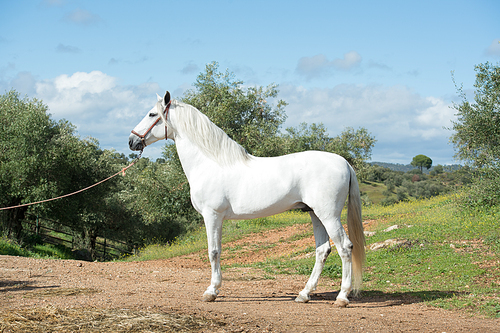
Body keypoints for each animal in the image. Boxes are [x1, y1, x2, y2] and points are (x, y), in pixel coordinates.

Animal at [127, 90, 366, 306]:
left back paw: (342, 297)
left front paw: (211, 291)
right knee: (322, 250)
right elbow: (217, 251)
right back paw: (304, 294)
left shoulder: (212, 216)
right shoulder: (216, 218)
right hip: (315, 214)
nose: (131, 141)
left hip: (329, 215)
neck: (210, 162)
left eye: (151, 114)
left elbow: (213, 252)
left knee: (345, 247)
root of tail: (344, 162)